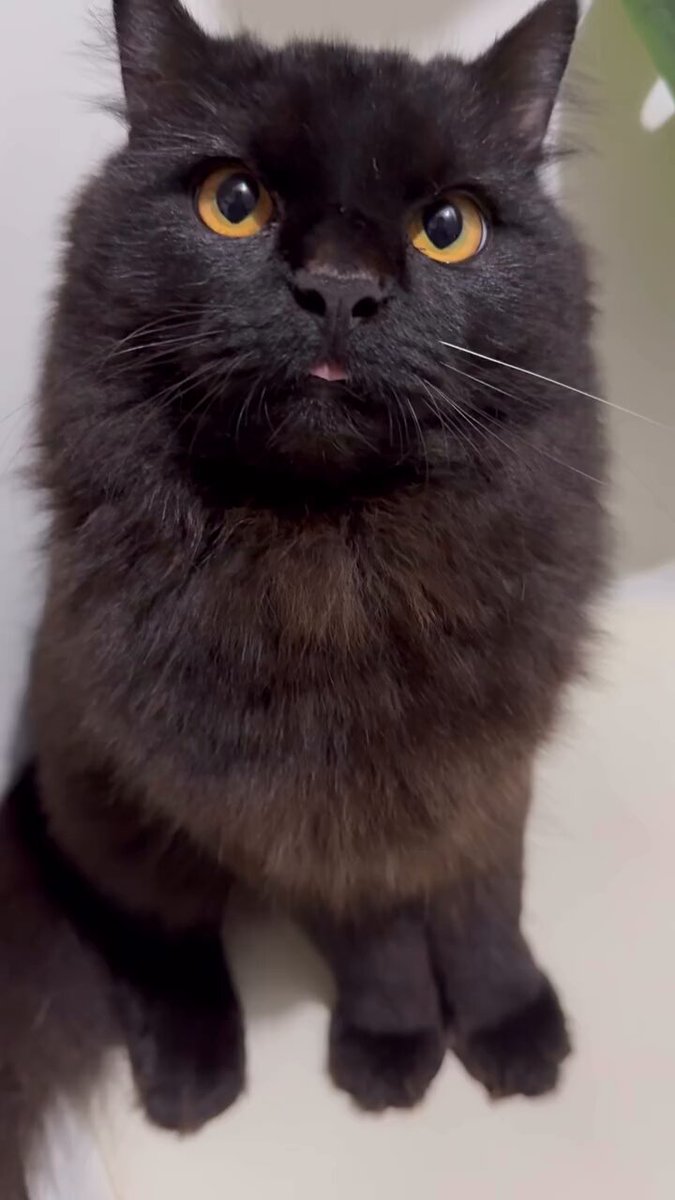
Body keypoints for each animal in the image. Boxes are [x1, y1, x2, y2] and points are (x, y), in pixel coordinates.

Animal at [1, 0, 607, 1181]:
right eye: (233, 204)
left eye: (449, 226)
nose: (337, 286)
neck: (348, 567)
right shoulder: (300, 805)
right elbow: (375, 938)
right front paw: (394, 1050)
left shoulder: (485, 760)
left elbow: (484, 904)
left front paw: (510, 1031)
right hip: (109, 806)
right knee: (155, 937)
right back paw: (193, 1077)